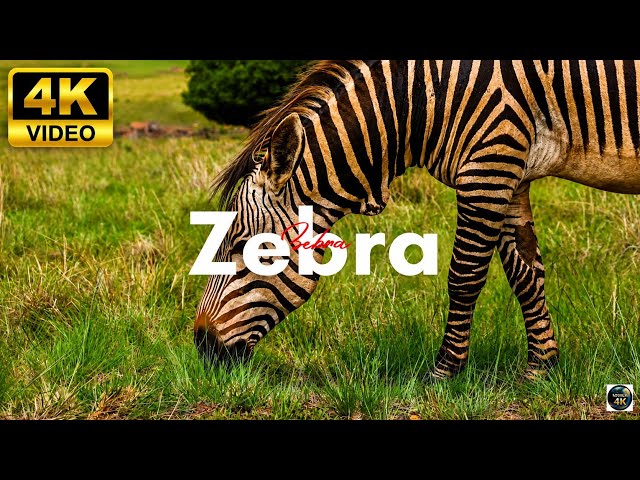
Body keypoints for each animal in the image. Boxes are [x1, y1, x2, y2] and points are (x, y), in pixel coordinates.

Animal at [194, 60, 640, 380]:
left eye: (244, 247)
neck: (423, 99)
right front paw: (540, 369)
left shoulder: (488, 164)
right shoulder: (514, 173)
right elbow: (526, 275)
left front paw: (444, 373)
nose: (201, 345)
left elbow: (464, 276)